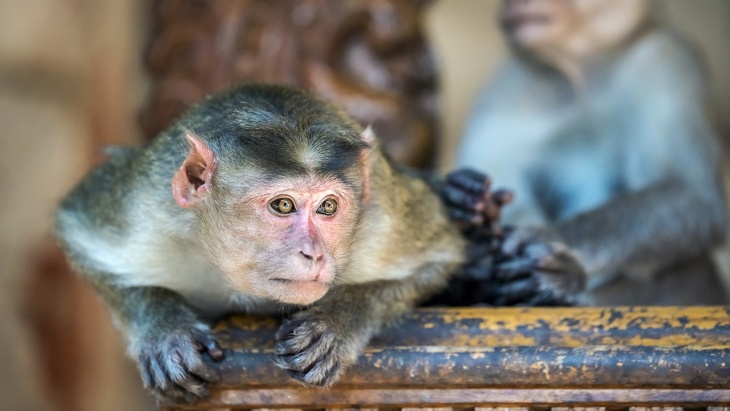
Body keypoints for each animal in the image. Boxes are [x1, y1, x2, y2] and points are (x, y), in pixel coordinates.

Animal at [54, 83, 467, 402]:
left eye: (328, 206)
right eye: (283, 205)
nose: (314, 254)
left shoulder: (383, 215)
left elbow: (440, 255)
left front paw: (340, 319)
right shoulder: (144, 210)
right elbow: (75, 228)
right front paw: (162, 328)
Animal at [452, 0, 728, 306]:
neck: (580, 73)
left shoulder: (665, 60)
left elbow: (689, 193)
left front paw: (544, 244)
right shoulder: (509, 86)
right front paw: (469, 204)